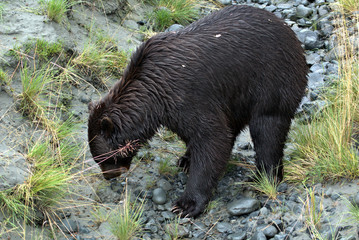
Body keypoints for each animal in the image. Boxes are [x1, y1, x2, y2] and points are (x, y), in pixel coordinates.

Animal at [88, 4, 310, 218]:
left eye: (104, 158)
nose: (109, 175)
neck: (153, 93)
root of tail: (287, 29)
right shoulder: (174, 109)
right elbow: (201, 135)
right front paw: (186, 159)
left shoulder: (187, 96)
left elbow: (212, 137)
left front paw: (187, 204)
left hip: (272, 79)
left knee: (268, 128)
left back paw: (265, 176)